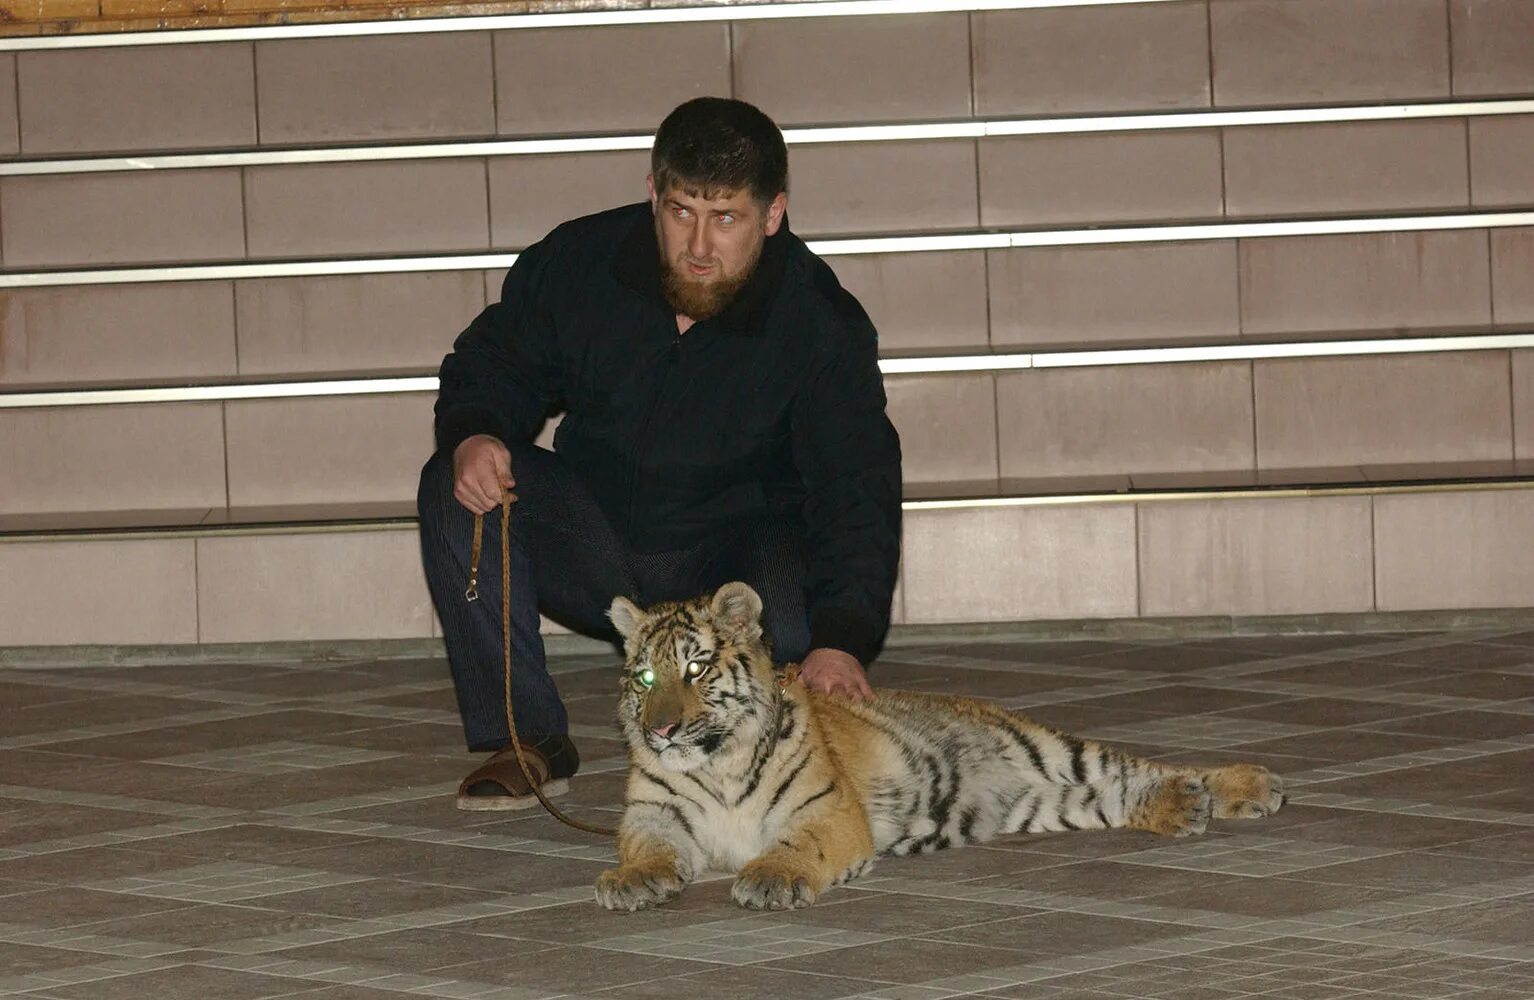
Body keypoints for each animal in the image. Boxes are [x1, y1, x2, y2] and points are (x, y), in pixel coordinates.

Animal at [594, 581, 1285, 911]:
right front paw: (631, 881)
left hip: (1046, 748)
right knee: (1113, 794)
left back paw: (1241, 786)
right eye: (646, 677)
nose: (661, 730)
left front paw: (770, 878)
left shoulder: (826, 811)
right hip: (1047, 801)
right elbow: (646, 848)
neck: (715, 763)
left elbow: (795, 848)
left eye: (696, 669)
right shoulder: (654, 814)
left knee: (1138, 767)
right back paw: (1186, 806)